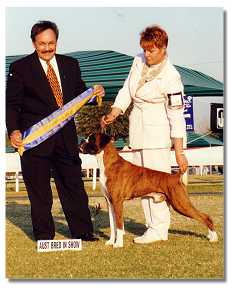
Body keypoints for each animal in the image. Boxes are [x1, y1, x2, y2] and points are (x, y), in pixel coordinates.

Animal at [79, 133, 218, 248]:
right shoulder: (109, 202)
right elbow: (113, 225)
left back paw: (213, 237)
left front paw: (118, 244)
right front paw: (111, 242)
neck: (109, 163)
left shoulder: (117, 202)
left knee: (205, 217)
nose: (81, 141)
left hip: (181, 204)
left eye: (91, 138)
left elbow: (118, 225)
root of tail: (175, 176)